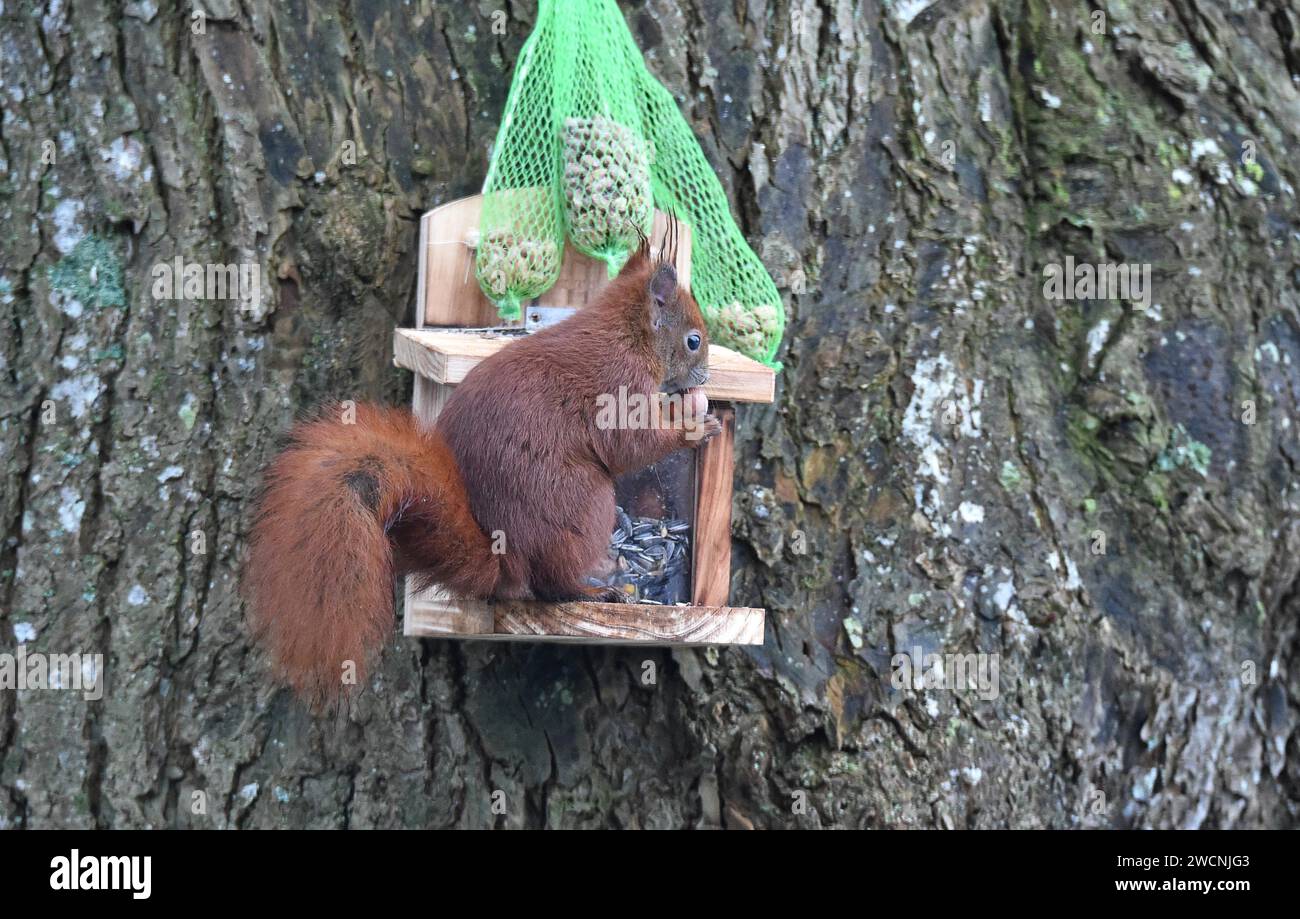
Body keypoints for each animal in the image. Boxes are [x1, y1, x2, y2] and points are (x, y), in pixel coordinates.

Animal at [244, 239, 722, 707]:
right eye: (694, 339)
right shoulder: (618, 387)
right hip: (587, 504)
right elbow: (632, 445)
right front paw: (694, 428)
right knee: (551, 585)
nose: (704, 378)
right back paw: (592, 590)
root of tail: (505, 560)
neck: (628, 336)